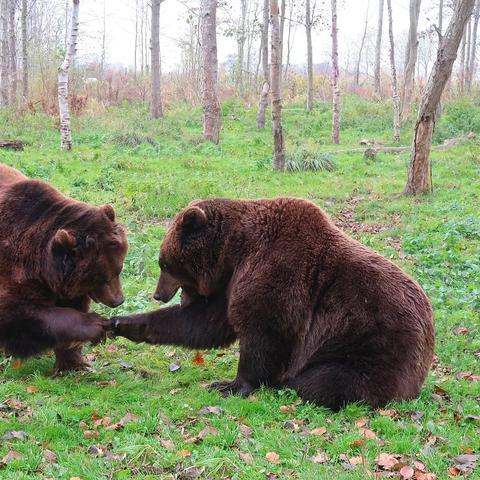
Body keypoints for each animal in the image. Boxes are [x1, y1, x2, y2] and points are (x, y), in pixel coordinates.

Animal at [0, 164, 127, 372]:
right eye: (101, 278)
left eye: (119, 269)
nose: (118, 300)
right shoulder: (15, 268)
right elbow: (22, 313)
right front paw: (96, 325)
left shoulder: (66, 283)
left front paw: (73, 363)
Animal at [112, 198, 436, 408]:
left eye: (164, 263)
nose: (158, 294)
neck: (234, 251)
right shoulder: (231, 284)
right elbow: (205, 323)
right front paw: (125, 323)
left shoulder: (277, 272)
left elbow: (264, 331)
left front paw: (230, 385)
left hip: (370, 345)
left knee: (326, 381)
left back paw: (292, 383)